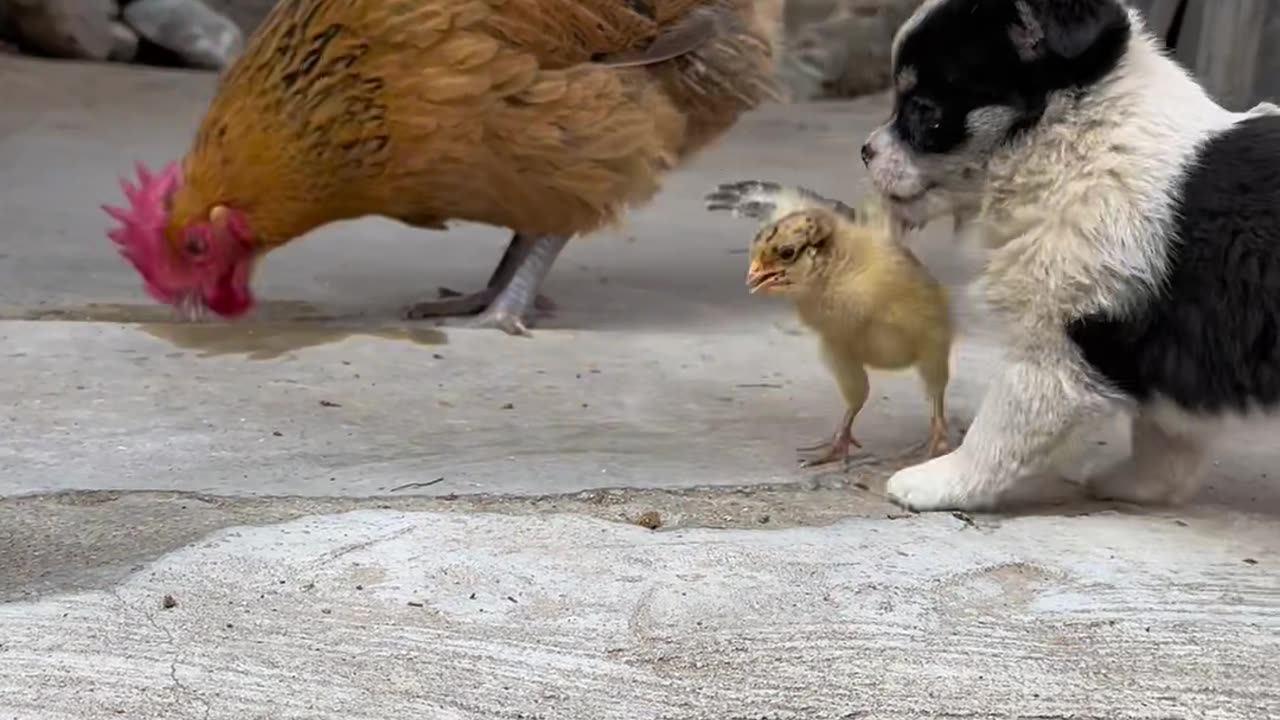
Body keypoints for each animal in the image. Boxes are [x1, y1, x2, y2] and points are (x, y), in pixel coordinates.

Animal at [855, 0, 1280, 509]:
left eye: (923, 111)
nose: (864, 151)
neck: (1072, 142)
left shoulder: (1056, 342)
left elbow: (999, 426)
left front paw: (937, 481)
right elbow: (1166, 436)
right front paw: (1138, 486)